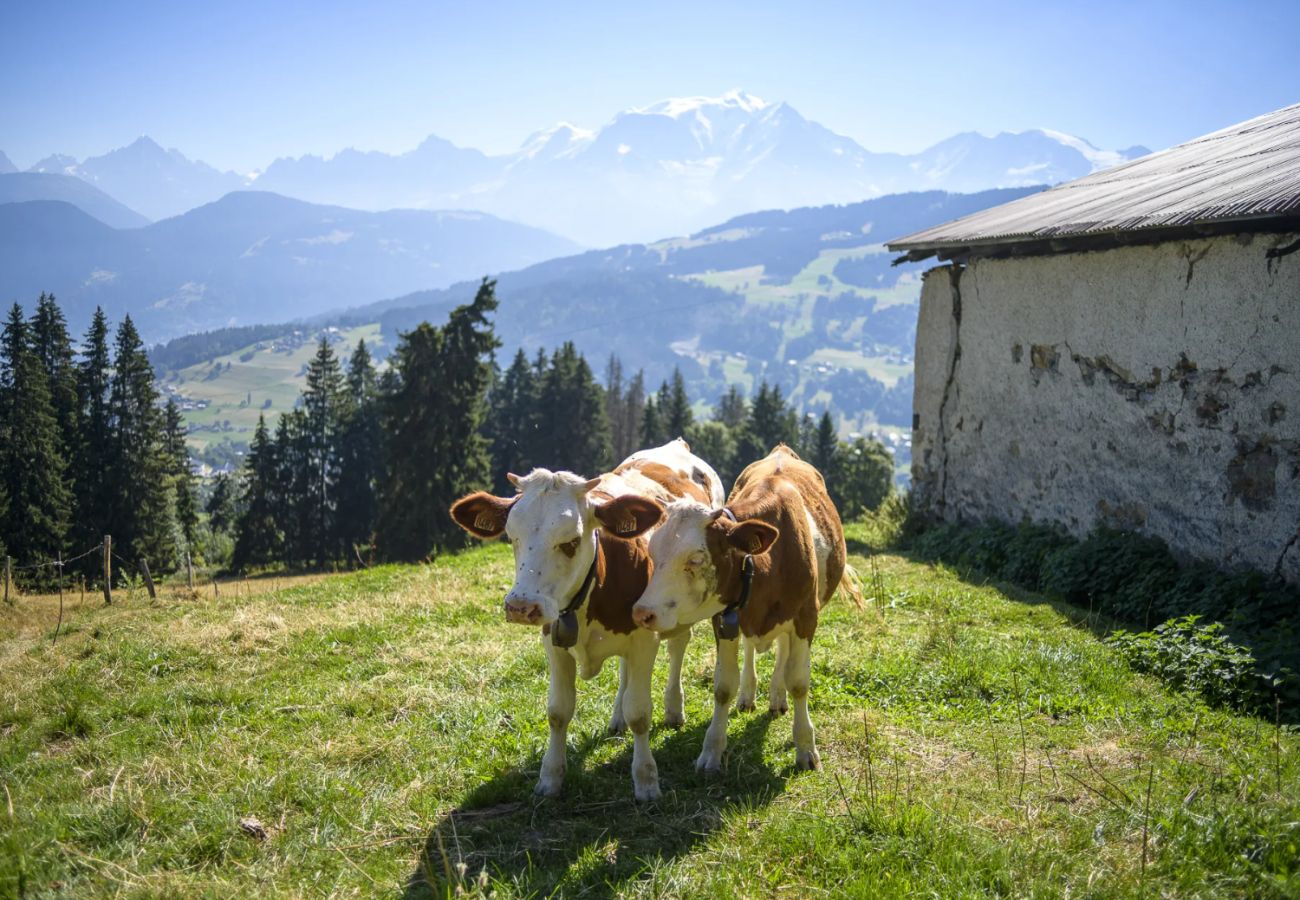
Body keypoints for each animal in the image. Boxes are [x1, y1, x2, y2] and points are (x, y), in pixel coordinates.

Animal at [449, 439, 728, 795]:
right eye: (512, 537)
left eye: (571, 542)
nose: (521, 606)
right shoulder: (553, 641)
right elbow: (558, 711)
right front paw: (550, 777)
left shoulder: (644, 638)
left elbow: (640, 713)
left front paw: (646, 780)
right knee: (625, 672)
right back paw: (617, 717)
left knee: (678, 645)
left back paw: (673, 708)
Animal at [600, 447, 863, 769]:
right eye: (652, 553)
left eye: (696, 559)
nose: (641, 612)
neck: (768, 562)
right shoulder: (724, 620)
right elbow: (724, 686)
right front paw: (712, 750)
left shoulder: (805, 618)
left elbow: (799, 682)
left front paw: (806, 749)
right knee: (752, 650)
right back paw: (749, 695)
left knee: (783, 654)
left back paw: (777, 697)